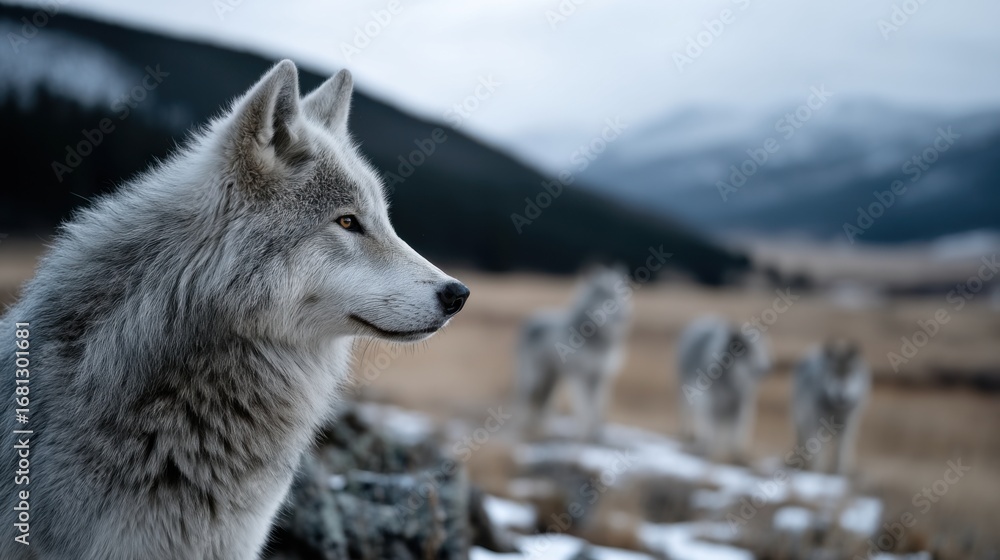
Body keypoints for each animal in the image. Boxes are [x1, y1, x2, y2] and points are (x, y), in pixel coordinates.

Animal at [514, 266, 632, 442]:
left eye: (620, 296)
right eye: (604, 296)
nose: (624, 316)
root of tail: (531, 319)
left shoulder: (600, 378)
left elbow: (598, 408)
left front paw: (598, 434)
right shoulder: (579, 377)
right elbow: (585, 409)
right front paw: (584, 435)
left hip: (551, 383)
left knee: (542, 407)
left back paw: (542, 429)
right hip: (533, 380)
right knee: (522, 404)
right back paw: (524, 430)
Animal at [676, 316, 771, 462]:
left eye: (763, 351)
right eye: (748, 352)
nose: (767, 368)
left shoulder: (741, 406)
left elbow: (736, 433)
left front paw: (737, 455)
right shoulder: (708, 403)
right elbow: (711, 428)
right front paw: (709, 450)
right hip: (686, 391)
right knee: (687, 413)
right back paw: (691, 434)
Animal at [792, 339, 870, 474]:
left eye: (849, 373)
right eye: (833, 373)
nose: (841, 395)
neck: (837, 410)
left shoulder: (847, 426)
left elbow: (841, 453)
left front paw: (840, 472)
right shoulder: (817, 426)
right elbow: (818, 454)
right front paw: (818, 473)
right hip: (801, 421)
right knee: (804, 442)